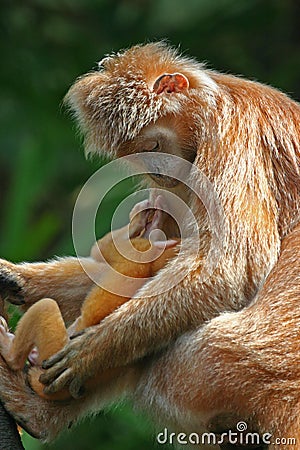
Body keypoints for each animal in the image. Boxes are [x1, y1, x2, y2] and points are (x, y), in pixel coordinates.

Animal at [0, 200, 178, 400]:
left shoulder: (138, 249)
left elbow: (101, 247)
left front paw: (143, 218)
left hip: (53, 350)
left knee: (46, 307)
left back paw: (11, 354)